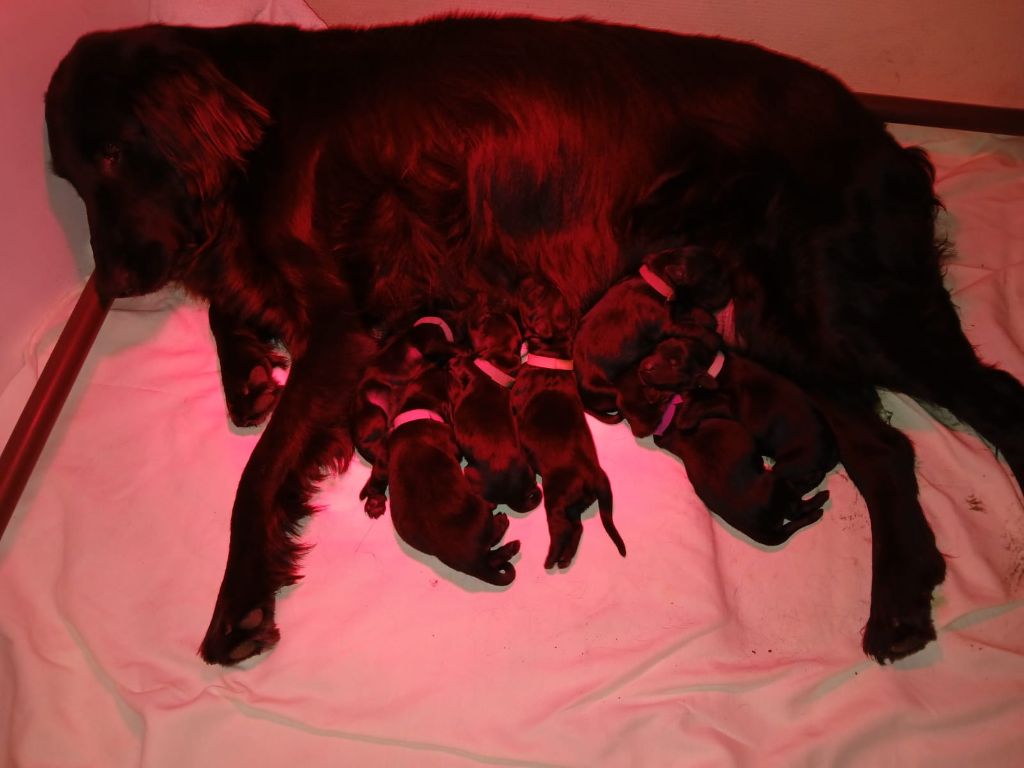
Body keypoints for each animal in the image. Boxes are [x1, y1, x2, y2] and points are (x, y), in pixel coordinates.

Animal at [509, 280, 622, 569]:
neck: (553, 357)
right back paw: (564, 559)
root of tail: (596, 476)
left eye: (533, 296)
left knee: (563, 528)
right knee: (578, 527)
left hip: (557, 499)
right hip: (573, 504)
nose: (525, 278)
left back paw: (551, 559)